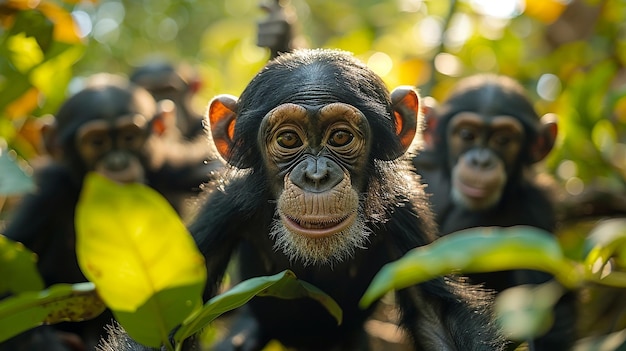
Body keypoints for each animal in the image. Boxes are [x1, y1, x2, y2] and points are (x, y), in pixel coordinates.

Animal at [1, 73, 213, 350]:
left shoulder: (174, 169)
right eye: (97, 142)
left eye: (129, 137)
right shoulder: (45, 196)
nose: (118, 163)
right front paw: (45, 341)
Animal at [179, 49, 502, 351]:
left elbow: (432, 315)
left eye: (340, 137)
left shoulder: (404, 209)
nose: (317, 175)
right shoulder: (224, 206)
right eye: (288, 140)